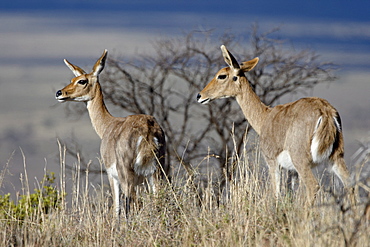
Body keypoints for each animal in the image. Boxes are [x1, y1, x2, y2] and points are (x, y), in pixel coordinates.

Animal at [56, 49, 169, 216]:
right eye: (72, 78)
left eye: (82, 81)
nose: (60, 93)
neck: (108, 126)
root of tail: (147, 130)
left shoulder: (111, 175)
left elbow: (117, 207)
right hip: (156, 173)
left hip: (127, 176)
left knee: (131, 204)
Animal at [198, 44, 354, 205]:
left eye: (221, 75)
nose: (200, 95)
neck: (265, 117)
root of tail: (326, 112)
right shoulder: (291, 171)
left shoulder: (272, 162)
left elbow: (276, 193)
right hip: (336, 157)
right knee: (349, 184)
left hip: (301, 160)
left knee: (313, 186)